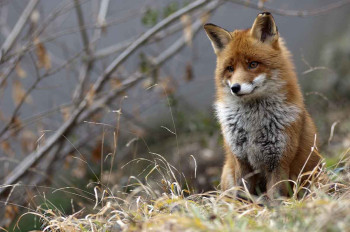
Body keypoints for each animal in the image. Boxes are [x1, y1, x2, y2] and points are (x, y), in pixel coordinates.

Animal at [204, 11, 322, 198]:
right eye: (230, 68)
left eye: (253, 64)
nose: (235, 88)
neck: (253, 124)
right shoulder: (241, 162)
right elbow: (242, 197)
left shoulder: (279, 161)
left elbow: (276, 198)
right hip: (227, 173)